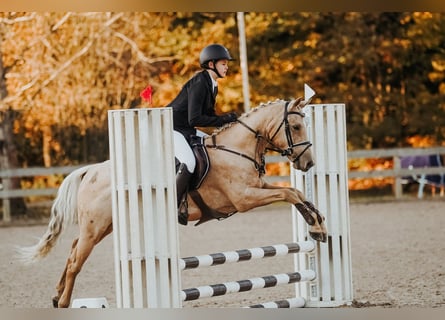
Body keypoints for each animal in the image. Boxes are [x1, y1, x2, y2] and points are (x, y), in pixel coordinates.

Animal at [18, 97, 326, 308]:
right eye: (295, 126)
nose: (309, 163)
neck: (237, 149)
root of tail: (92, 170)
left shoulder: (258, 187)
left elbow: (295, 193)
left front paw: (318, 225)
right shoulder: (245, 198)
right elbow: (288, 194)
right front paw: (316, 225)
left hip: (105, 226)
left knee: (72, 249)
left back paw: (57, 295)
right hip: (96, 228)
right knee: (75, 261)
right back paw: (64, 302)